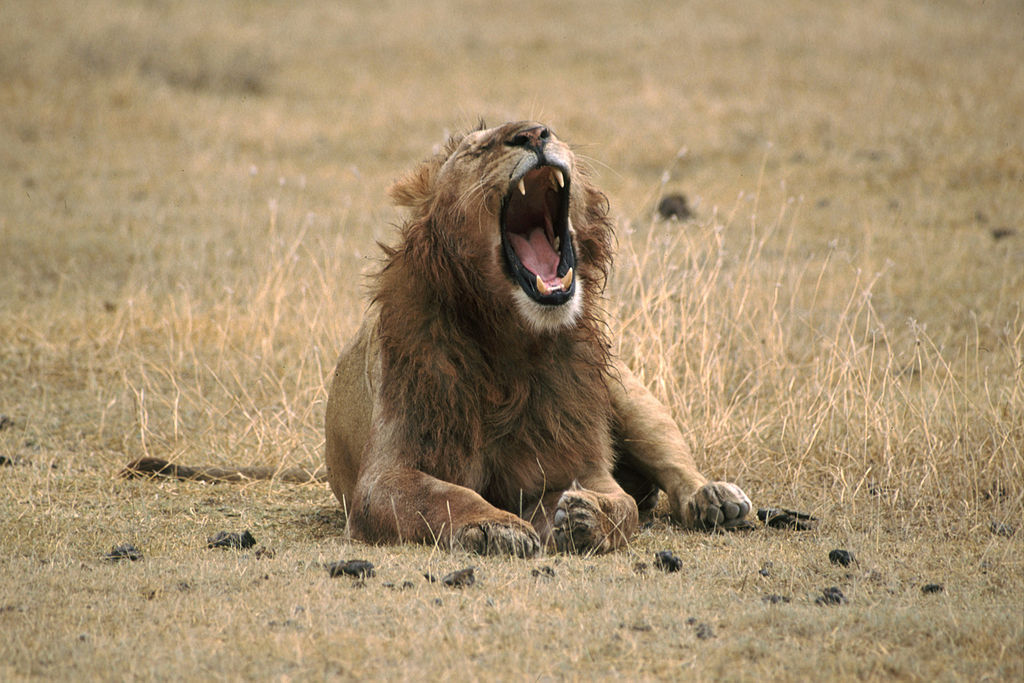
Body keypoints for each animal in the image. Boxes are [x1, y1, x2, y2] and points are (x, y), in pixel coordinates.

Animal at [125, 121, 751, 556]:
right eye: (480, 149)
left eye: (547, 126)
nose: (535, 133)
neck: (511, 345)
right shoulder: (384, 477)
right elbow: (442, 495)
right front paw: (494, 527)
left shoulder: (579, 457)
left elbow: (621, 507)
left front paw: (584, 517)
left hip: (623, 389)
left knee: (674, 462)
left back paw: (715, 498)